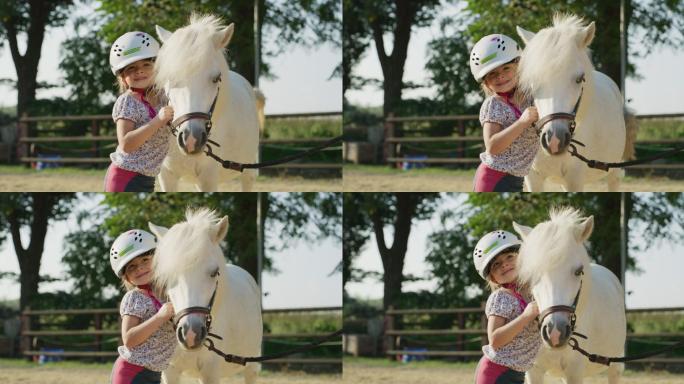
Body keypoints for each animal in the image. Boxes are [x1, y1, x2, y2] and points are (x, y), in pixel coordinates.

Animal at [149, 208, 262, 382]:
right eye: (168, 276)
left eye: (214, 273)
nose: (190, 333)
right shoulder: (170, 371)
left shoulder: (210, 372)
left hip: (252, 365)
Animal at [155, 14, 262, 192]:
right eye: (170, 78)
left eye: (216, 78)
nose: (191, 139)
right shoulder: (166, 176)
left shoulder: (208, 178)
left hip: (248, 170)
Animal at [512, 208, 624, 382]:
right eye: (532, 274)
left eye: (578, 271)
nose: (554, 332)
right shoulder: (533, 371)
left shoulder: (574, 372)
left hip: (615, 364)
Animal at [516, 15, 628, 192]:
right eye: (533, 81)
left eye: (579, 79)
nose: (554, 140)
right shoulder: (533, 178)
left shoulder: (574, 179)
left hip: (614, 170)